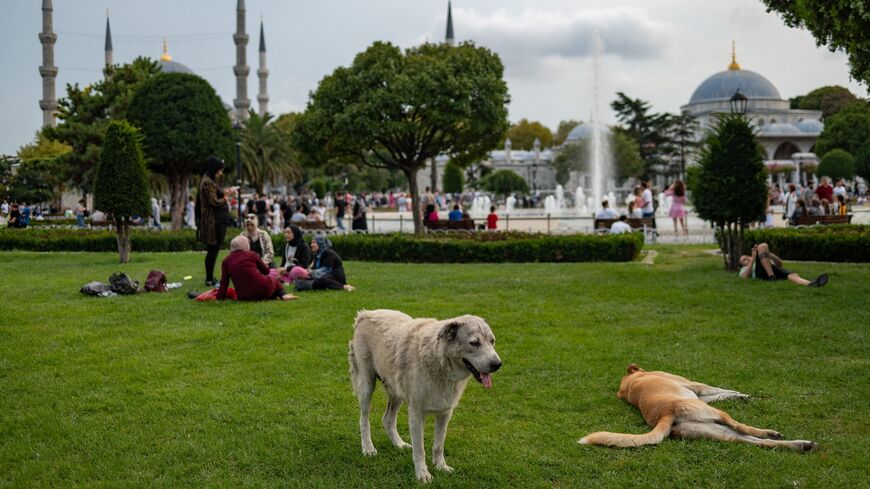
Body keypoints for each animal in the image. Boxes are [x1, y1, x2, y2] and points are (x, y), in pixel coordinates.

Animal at [350, 308, 504, 480]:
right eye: (474, 343)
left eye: (492, 341)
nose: (497, 364)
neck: (440, 363)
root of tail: (366, 313)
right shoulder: (416, 414)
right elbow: (420, 449)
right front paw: (423, 474)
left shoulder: (445, 413)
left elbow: (439, 445)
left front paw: (441, 467)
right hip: (367, 386)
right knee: (364, 420)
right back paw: (368, 448)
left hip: (396, 392)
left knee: (387, 419)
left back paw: (399, 444)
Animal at [580, 364, 816, 452]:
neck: (631, 384)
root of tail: (665, 415)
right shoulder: (693, 385)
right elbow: (718, 389)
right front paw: (740, 394)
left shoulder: (697, 393)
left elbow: (717, 394)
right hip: (715, 415)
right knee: (746, 430)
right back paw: (772, 432)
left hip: (713, 430)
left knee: (753, 441)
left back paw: (803, 445)